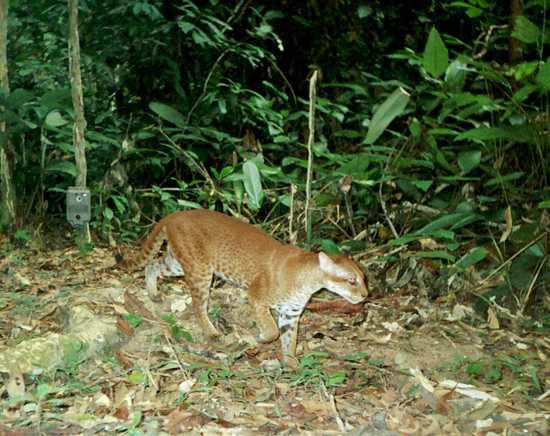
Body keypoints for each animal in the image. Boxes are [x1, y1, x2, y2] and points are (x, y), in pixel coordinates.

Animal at [119, 209, 370, 362]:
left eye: (364, 278)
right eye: (351, 280)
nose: (366, 295)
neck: (308, 281)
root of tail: (175, 214)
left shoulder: (291, 313)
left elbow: (289, 340)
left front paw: (292, 365)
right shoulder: (257, 297)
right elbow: (271, 331)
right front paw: (258, 339)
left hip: (179, 263)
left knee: (153, 265)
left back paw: (153, 293)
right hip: (200, 270)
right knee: (198, 305)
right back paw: (212, 332)